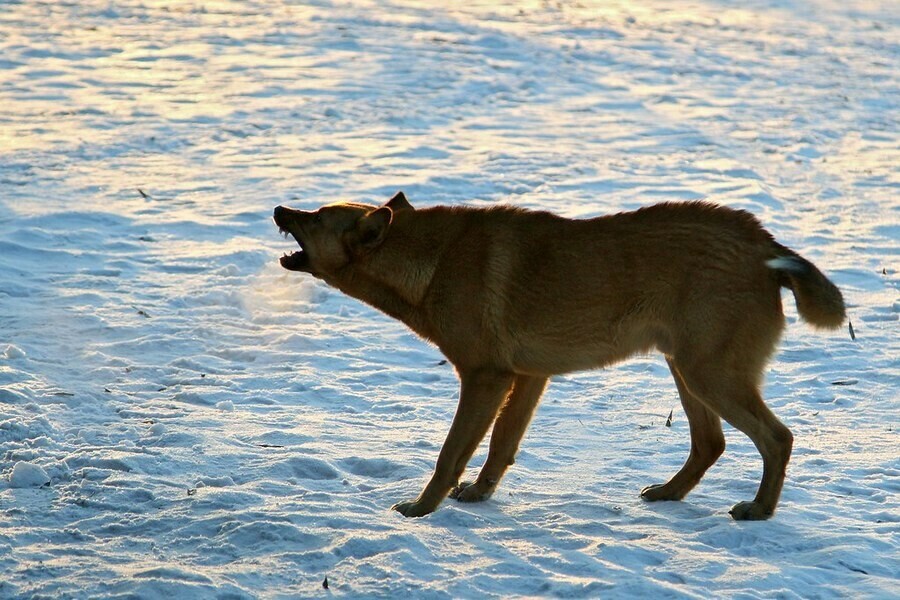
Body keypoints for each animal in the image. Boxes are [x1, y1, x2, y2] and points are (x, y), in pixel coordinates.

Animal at [272, 193, 844, 520]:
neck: (429, 263)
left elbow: (450, 454)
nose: (277, 208)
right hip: (687, 369)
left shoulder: (485, 377)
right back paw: (669, 493)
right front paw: (478, 497)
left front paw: (420, 510)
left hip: (710, 374)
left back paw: (760, 510)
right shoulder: (526, 376)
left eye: (315, 217)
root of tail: (766, 246)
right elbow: (501, 446)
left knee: (777, 438)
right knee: (711, 443)